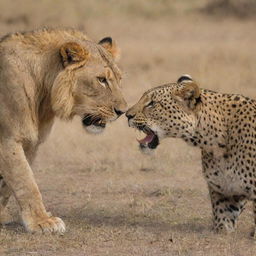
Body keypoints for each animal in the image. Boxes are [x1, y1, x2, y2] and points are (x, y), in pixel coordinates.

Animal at [0, 28, 127, 234]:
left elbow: (8, 184)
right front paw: (42, 222)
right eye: (101, 80)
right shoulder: (8, 138)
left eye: (119, 80)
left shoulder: (31, 142)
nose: (122, 111)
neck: (43, 94)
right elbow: (25, 181)